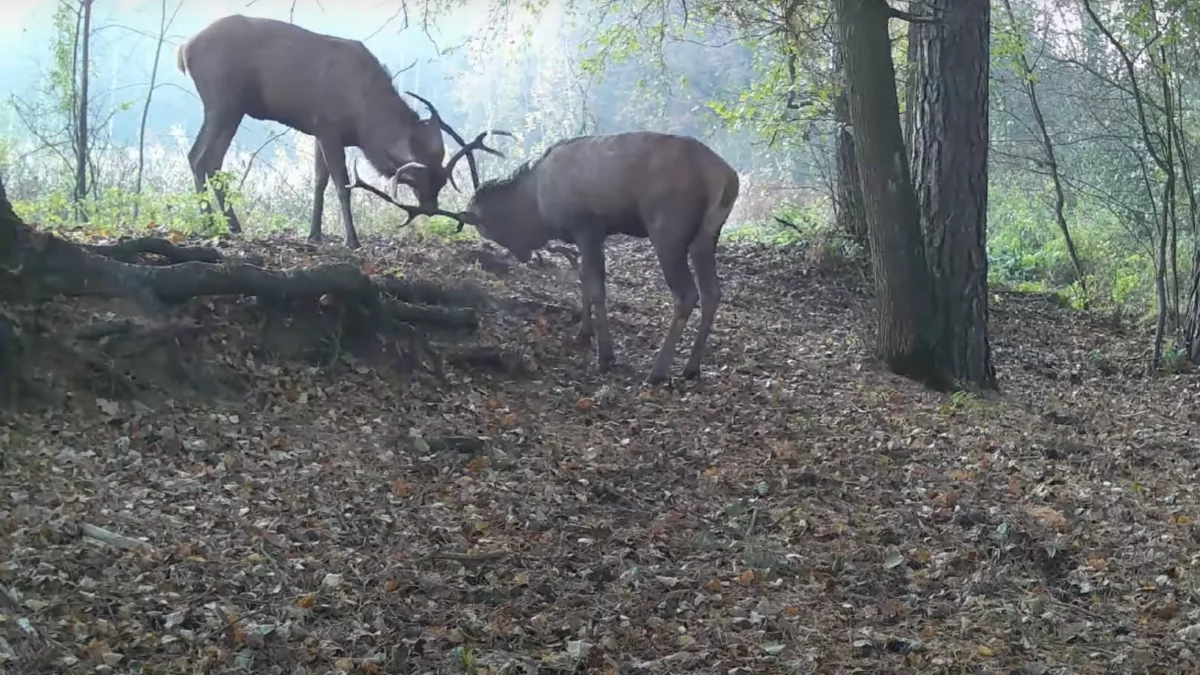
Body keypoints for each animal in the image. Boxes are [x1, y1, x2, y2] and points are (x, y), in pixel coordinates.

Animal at [175, 13, 508, 249]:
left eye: (441, 181)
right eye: (422, 179)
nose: (429, 209)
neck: (363, 120)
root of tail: (184, 49)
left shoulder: (317, 132)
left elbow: (319, 182)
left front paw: (314, 235)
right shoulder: (328, 127)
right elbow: (342, 184)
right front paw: (352, 240)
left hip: (231, 107)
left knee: (210, 159)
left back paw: (230, 225)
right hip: (223, 100)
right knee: (199, 157)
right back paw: (211, 224)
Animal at [460, 131, 734, 384]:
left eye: (488, 229)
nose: (523, 254)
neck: (536, 201)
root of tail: (728, 179)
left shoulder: (587, 227)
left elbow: (596, 285)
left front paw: (606, 356)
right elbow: (584, 276)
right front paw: (583, 333)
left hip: (667, 230)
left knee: (687, 294)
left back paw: (657, 372)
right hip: (706, 236)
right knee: (711, 292)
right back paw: (691, 368)